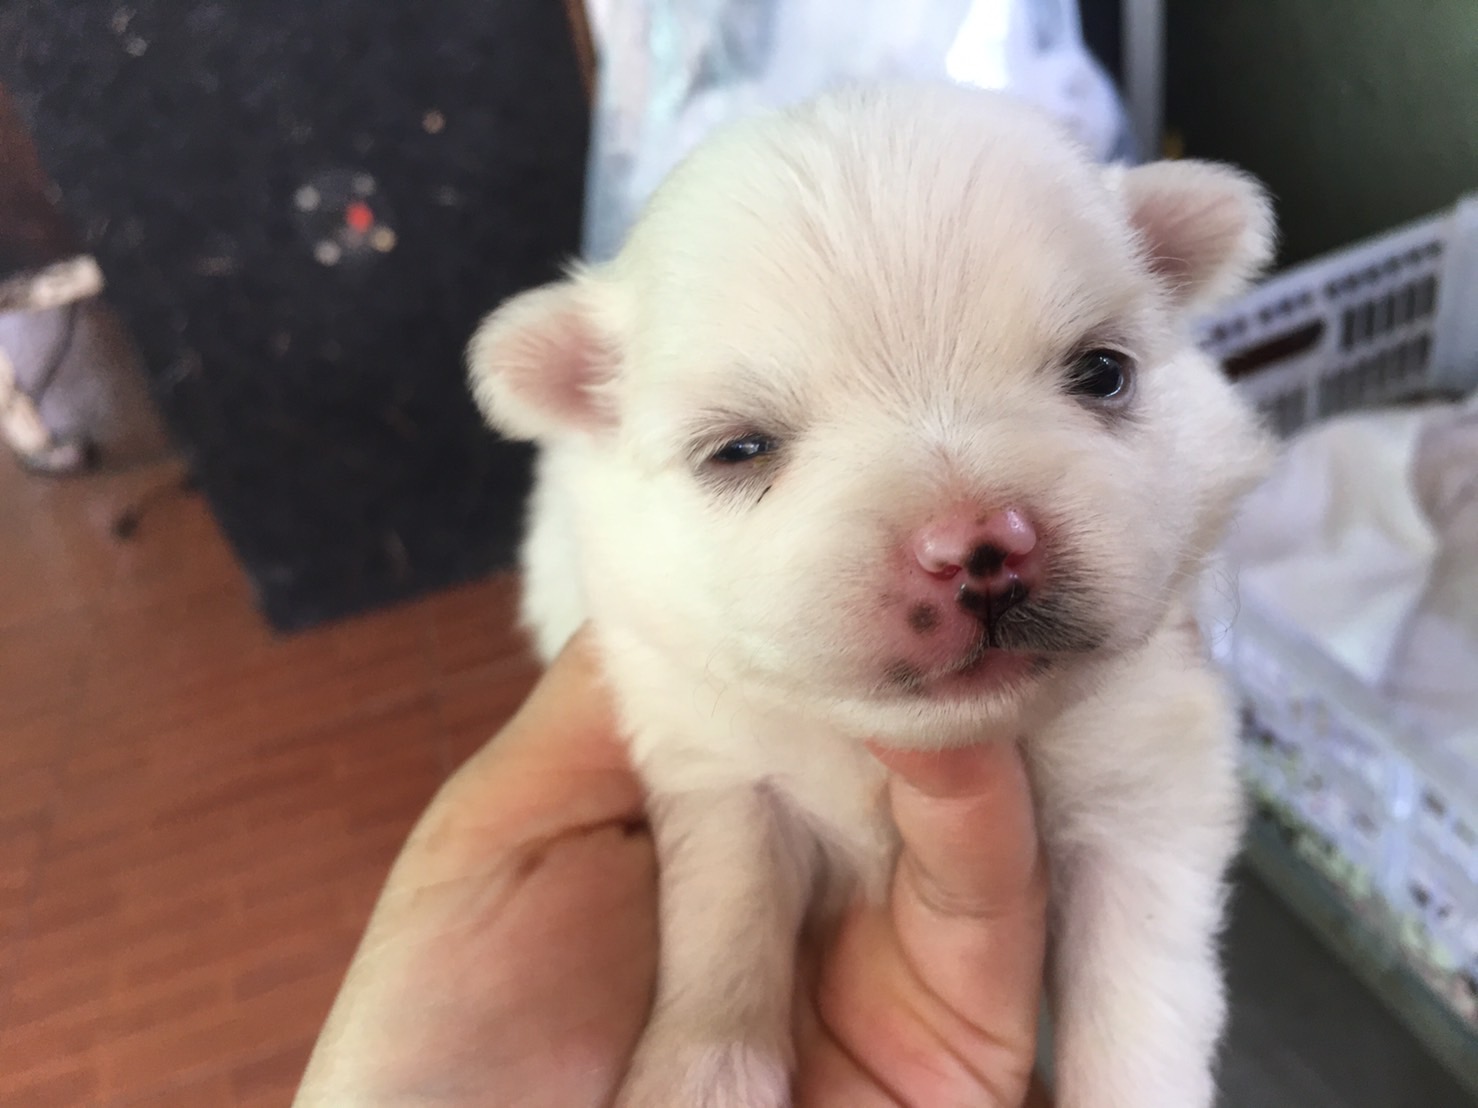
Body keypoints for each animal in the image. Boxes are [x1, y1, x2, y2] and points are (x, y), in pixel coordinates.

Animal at [468, 82, 1275, 1108]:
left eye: (1102, 372)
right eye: (739, 449)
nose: (978, 545)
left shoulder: (1144, 782)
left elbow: (1136, 992)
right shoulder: (711, 762)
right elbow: (725, 925)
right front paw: (700, 1075)